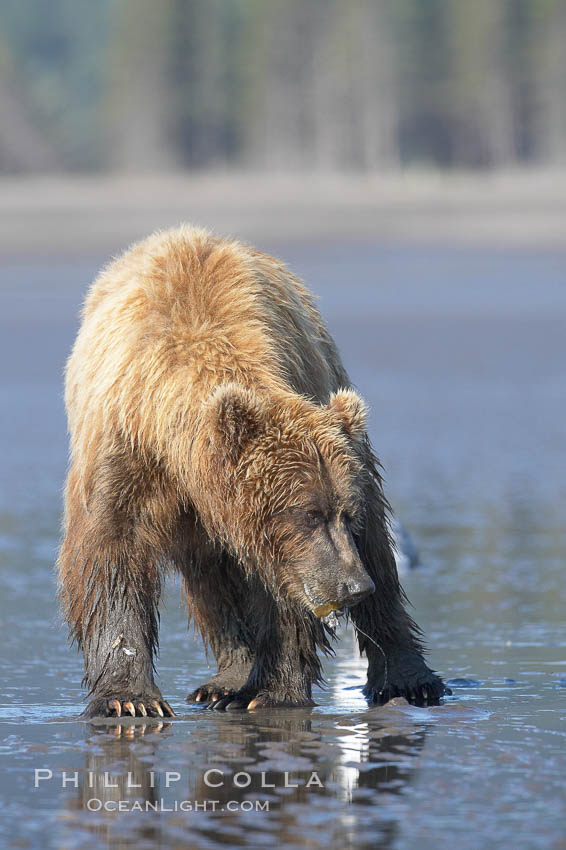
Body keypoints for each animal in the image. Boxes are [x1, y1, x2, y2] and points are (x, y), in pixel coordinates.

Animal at [56, 222, 448, 712]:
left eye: (345, 513)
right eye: (309, 513)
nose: (353, 586)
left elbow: (286, 590)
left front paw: (275, 692)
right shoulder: (126, 450)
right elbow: (111, 554)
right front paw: (129, 699)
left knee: (379, 549)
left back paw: (406, 678)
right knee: (212, 576)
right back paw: (226, 680)